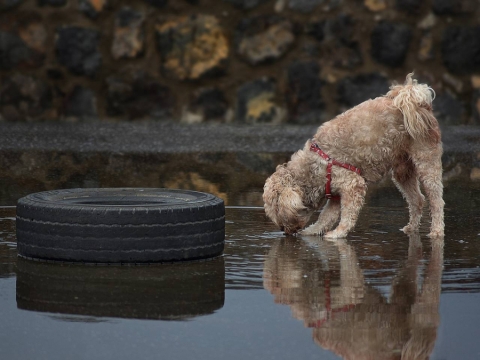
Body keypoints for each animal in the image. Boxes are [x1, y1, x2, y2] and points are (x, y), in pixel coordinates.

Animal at [264, 73, 444, 238]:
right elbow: (326, 217)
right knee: (417, 200)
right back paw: (411, 228)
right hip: (403, 171)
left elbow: (347, 215)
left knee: (436, 201)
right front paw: (313, 232)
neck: (314, 166)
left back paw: (436, 231)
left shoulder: (352, 184)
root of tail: (419, 103)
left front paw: (338, 233)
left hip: (426, 161)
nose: (284, 231)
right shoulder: (335, 195)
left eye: (281, 215)